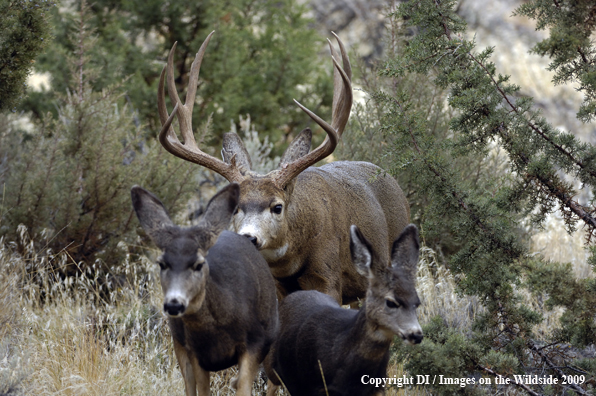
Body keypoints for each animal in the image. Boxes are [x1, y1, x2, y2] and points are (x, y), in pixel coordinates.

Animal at [130, 183, 278, 396]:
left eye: (198, 264)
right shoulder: (194, 352)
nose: (174, 304)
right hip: (178, 343)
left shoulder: (255, 343)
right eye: (162, 264)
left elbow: (243, 387)